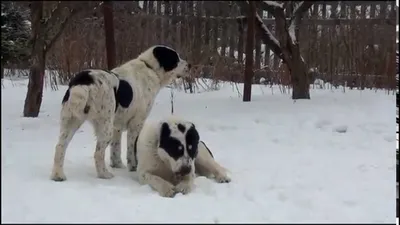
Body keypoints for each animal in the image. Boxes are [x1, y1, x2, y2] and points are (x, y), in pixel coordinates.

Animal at [50, 45, 191, 181]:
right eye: (175, 58)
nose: (189, 65)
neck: (150, 68)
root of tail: (84, 80)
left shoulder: (116, 126)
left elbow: (116, 149)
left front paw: (117, 165)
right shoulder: (136, 123)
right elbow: (131, 149)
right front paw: (133, 167)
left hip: (70, 121)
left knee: (59, 147)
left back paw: (58, 175)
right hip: (104, 126)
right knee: (98, 153)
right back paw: (104, 174)